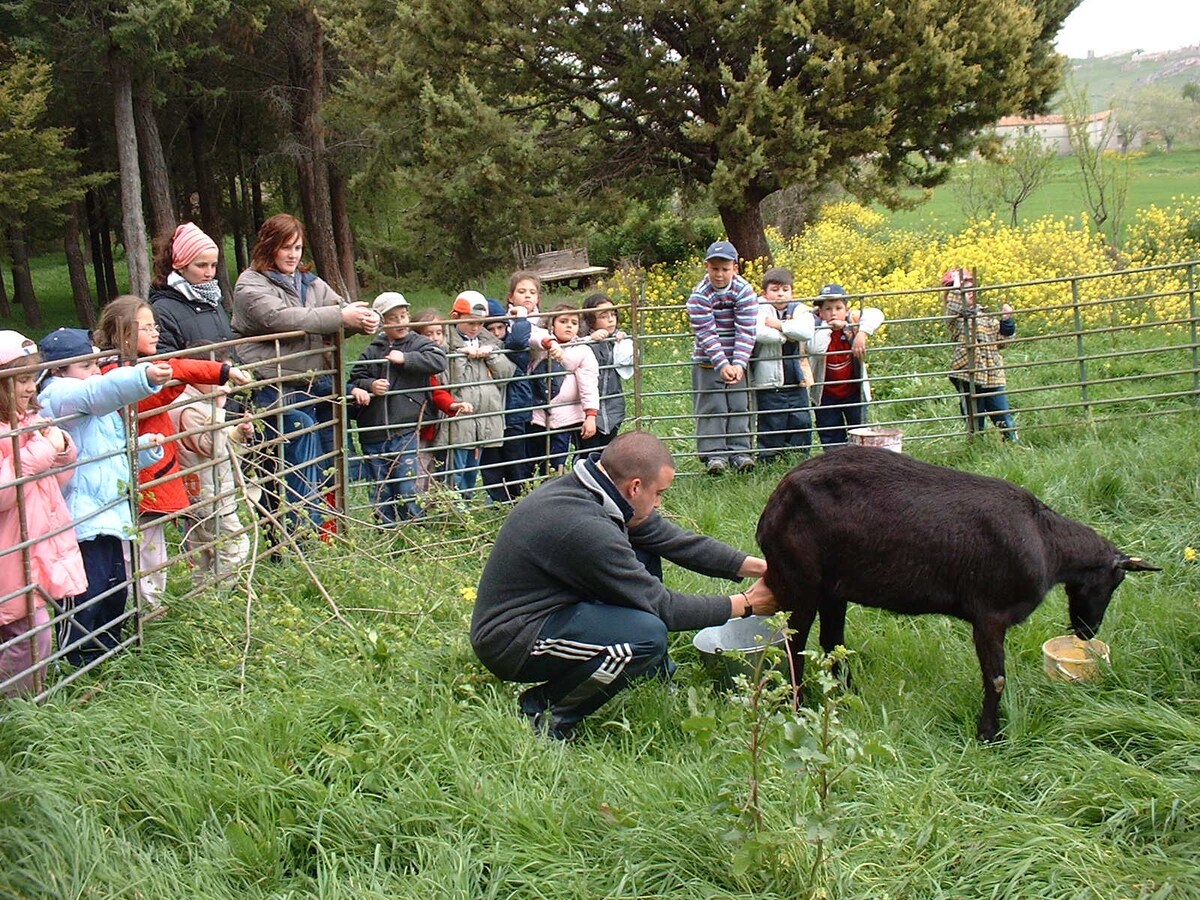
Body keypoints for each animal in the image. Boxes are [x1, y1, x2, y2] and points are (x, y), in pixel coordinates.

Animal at [753, 448, 1156, 744]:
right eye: (1113, 581)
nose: (1087, 632)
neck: (1047, 542)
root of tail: (772, 505)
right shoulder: (990, 614)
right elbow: (996, 678)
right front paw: (989, 735)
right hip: (799, 581)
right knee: (794, 644)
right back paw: (798, 707)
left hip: (833, 587)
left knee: (831, 641)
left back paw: (848, 698)